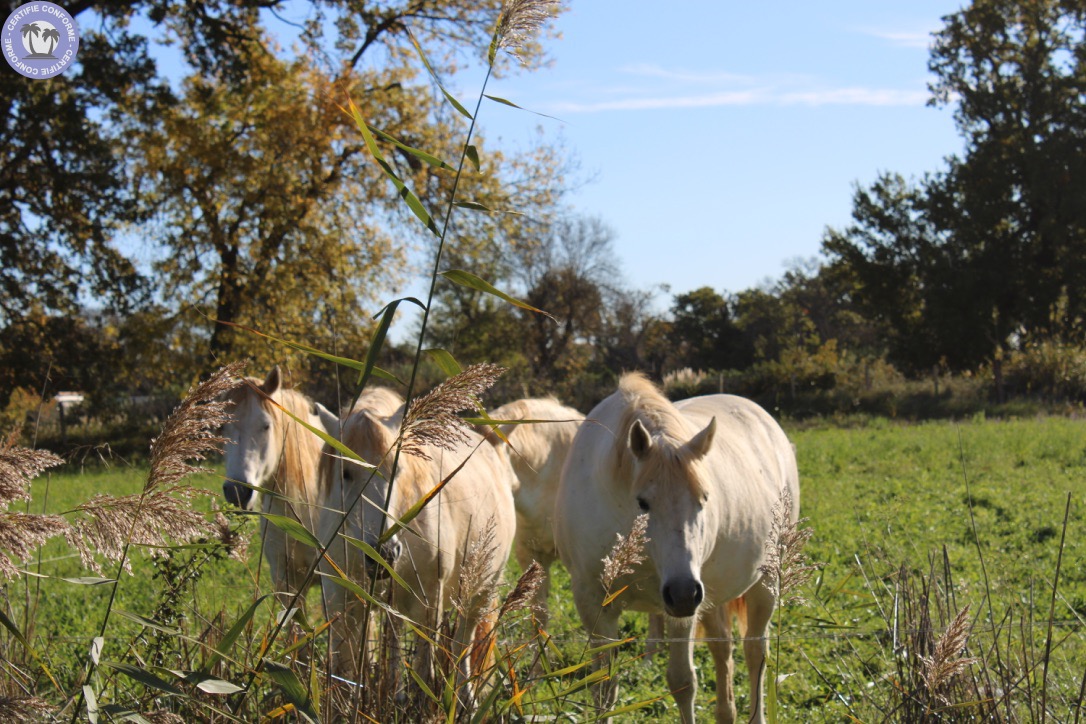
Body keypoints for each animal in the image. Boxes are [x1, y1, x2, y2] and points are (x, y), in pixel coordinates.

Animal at [317, 392, 516, 690]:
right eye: (346, 472)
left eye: (396, 470)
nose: (384, 553)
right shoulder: (340, 595)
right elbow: (347, 665)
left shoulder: (430, 596)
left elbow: (424, 665)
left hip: (479, 593)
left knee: (462, 645)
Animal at [560, 373, 799, 724]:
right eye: (643, 502)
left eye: (704, 499)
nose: (684, 591)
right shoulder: (593, 603)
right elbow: (603, 687)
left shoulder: (680, 608)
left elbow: (683, 682)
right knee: (723, 647)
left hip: (762, 582)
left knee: (755, 651)